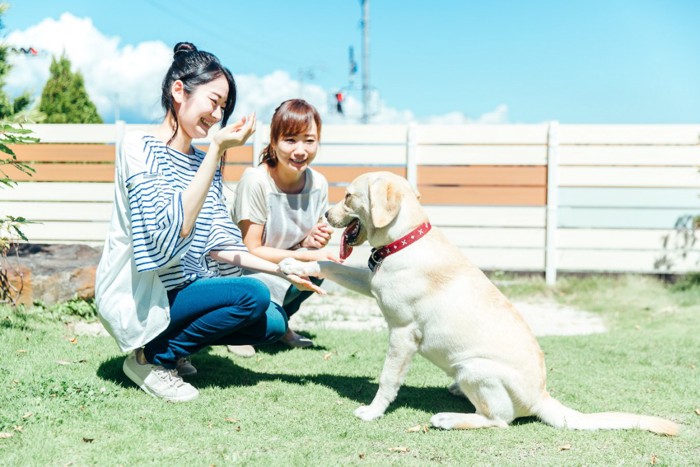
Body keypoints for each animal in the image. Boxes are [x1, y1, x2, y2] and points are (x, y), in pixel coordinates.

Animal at [278, 171, 680, 436]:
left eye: (348, 197)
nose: (324, 216)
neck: (404, 240)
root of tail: (543, 397)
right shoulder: (371, 281)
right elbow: (332, 265)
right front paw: (293, 265)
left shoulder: (403, 334)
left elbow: (388, 379)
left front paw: (373, 412)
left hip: (474, 367)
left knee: (499, 420)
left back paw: (447, 418)